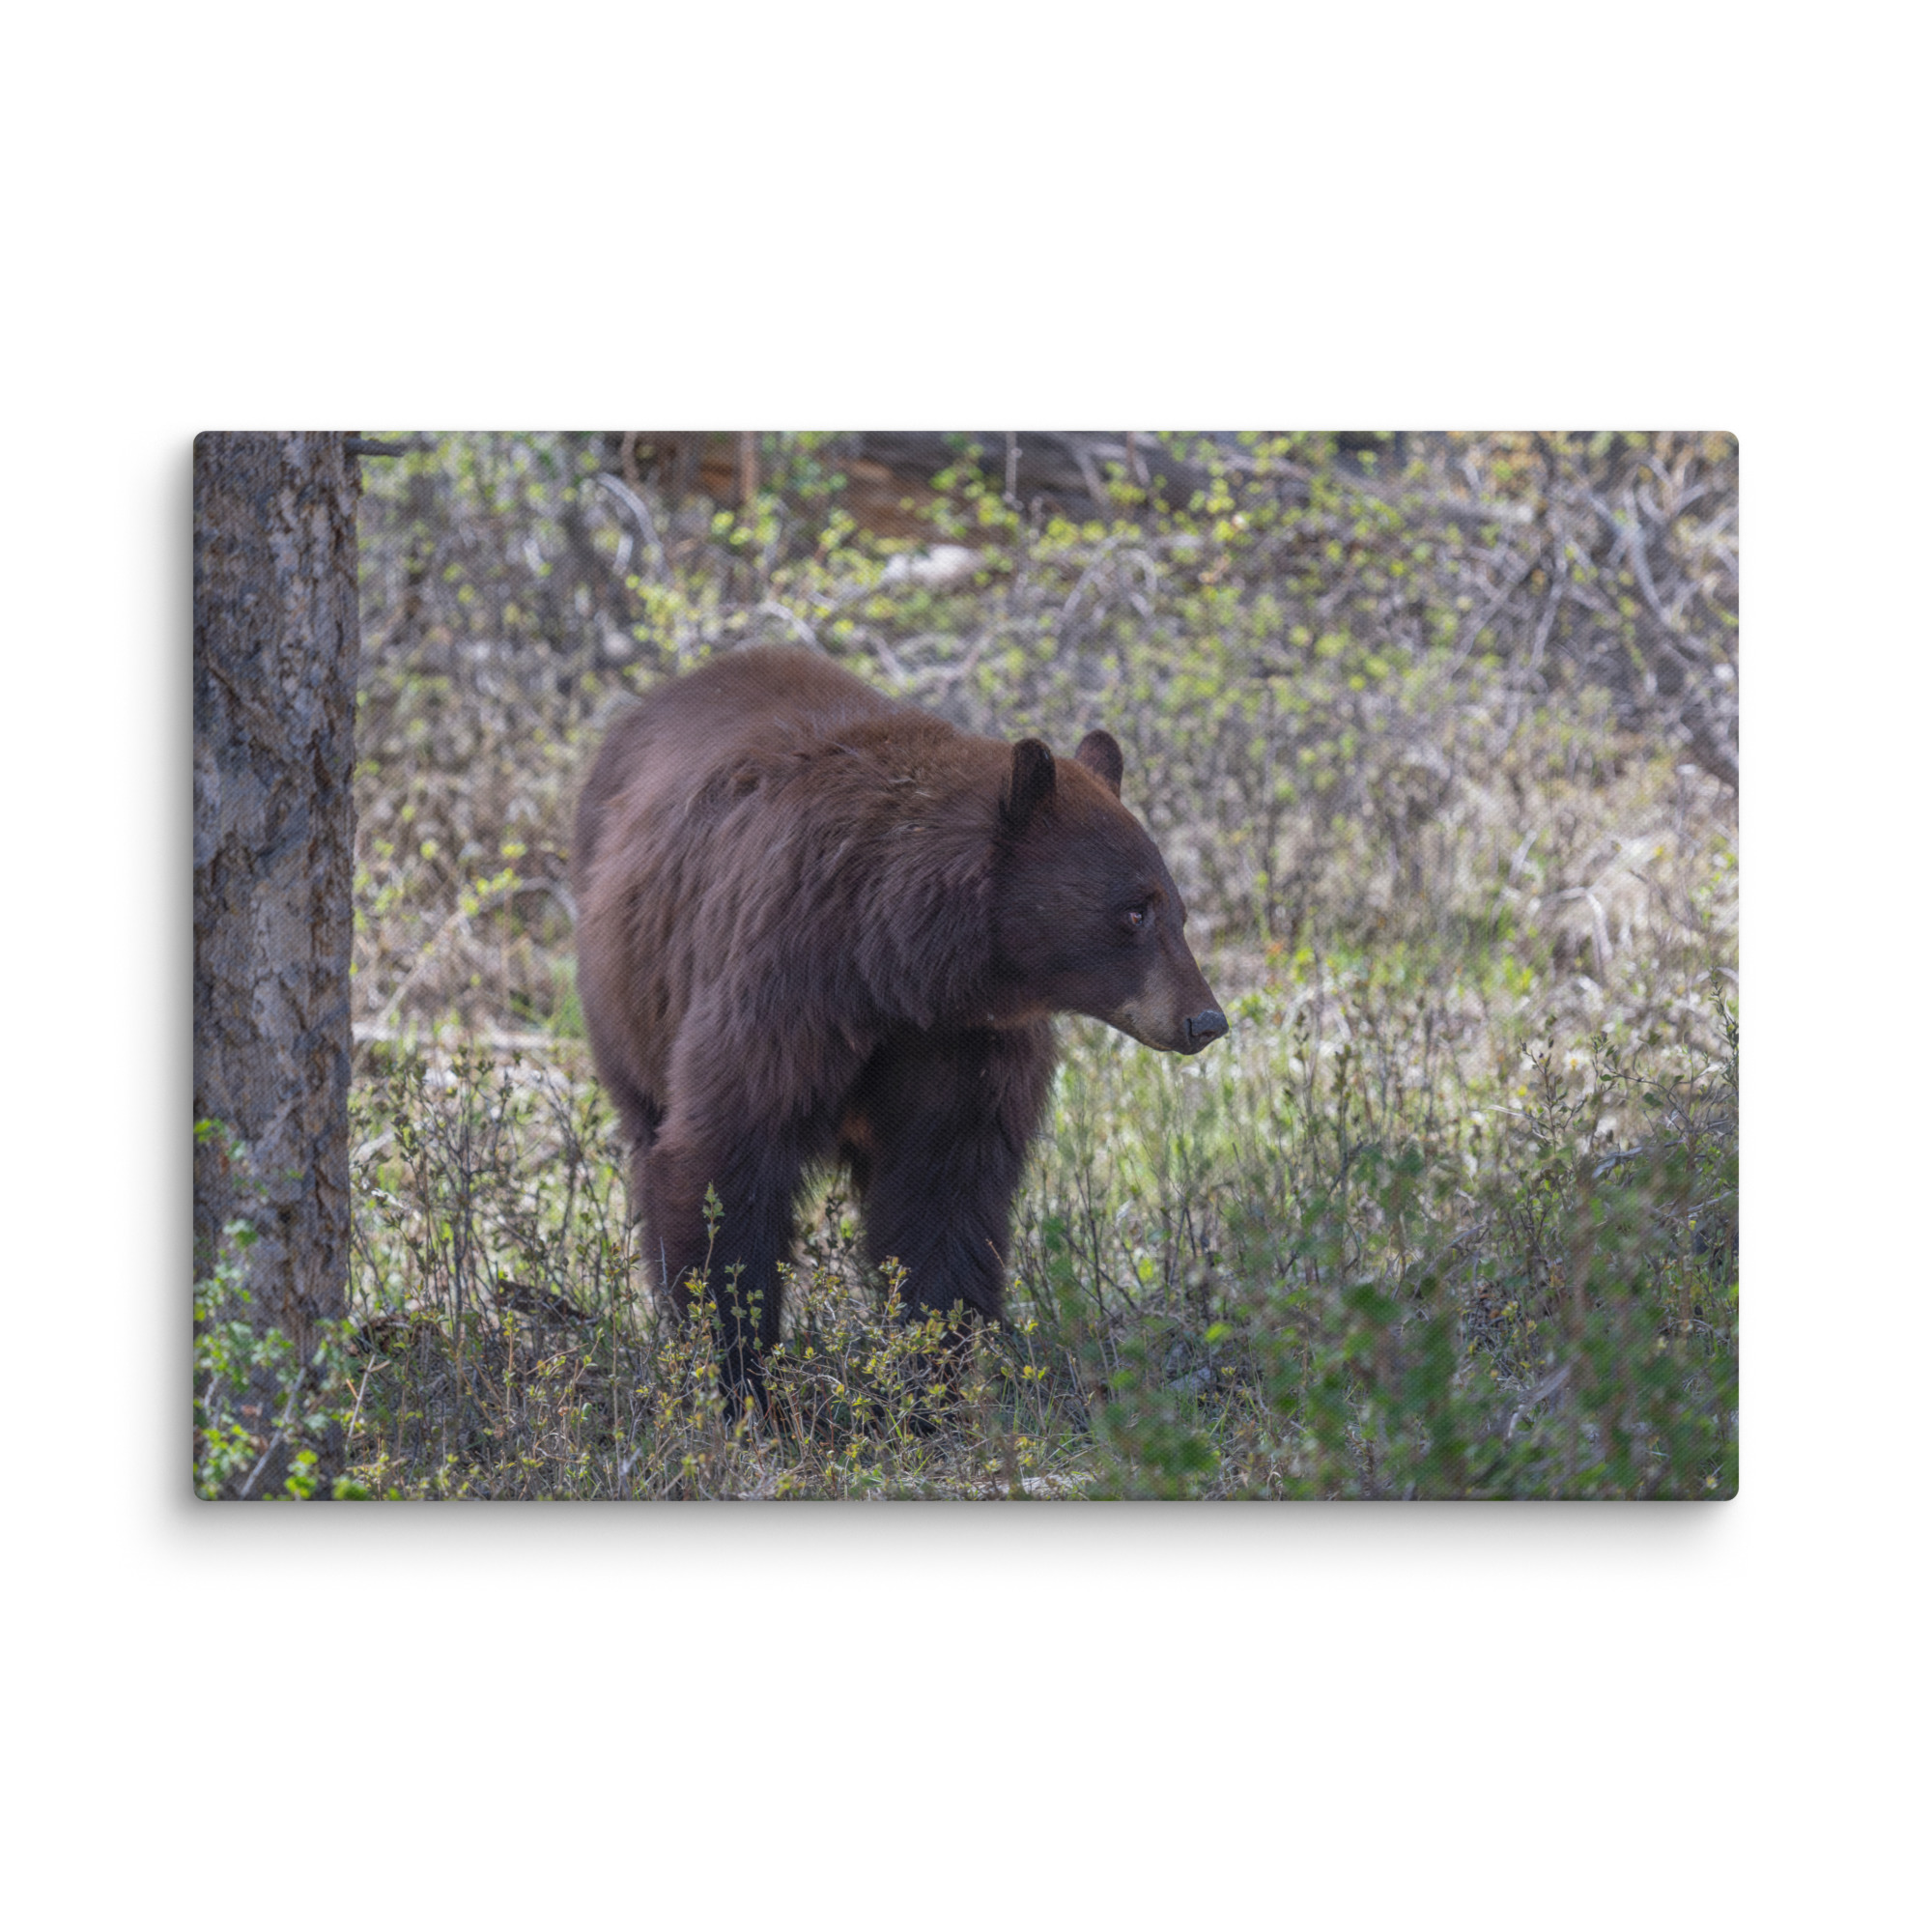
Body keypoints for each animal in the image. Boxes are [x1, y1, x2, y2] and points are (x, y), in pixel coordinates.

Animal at [571, 645, 1225, 1405]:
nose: (1205, 1020)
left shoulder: (964, 1043)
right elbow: (725, 1157)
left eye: (1177, 909)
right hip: (627, 998)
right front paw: (740, 1378)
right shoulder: (784, 985)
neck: (895, 964)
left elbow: (945, 1192)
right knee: (649, 1132)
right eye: (1134, 912)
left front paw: (929, 1382)